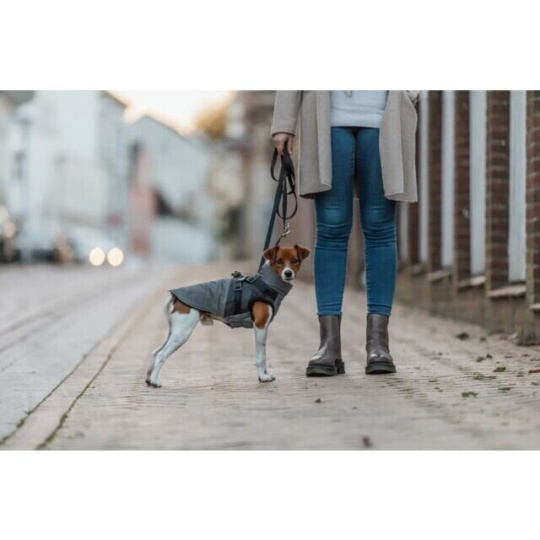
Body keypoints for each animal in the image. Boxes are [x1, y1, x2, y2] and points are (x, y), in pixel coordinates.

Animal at [145, 244, 310, 388]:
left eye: (295, 260)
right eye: (279, 261)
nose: (288, 273)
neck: (268, 283)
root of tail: (175, 296)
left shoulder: (261, 328)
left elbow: (261, 353)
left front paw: (264, 375)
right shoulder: (261, 325)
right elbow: (261, 356)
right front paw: (263, 377)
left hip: (174, 332)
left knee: (155, 352)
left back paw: (149, 379)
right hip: (182, 333)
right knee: (161, 355)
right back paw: (155, 381)